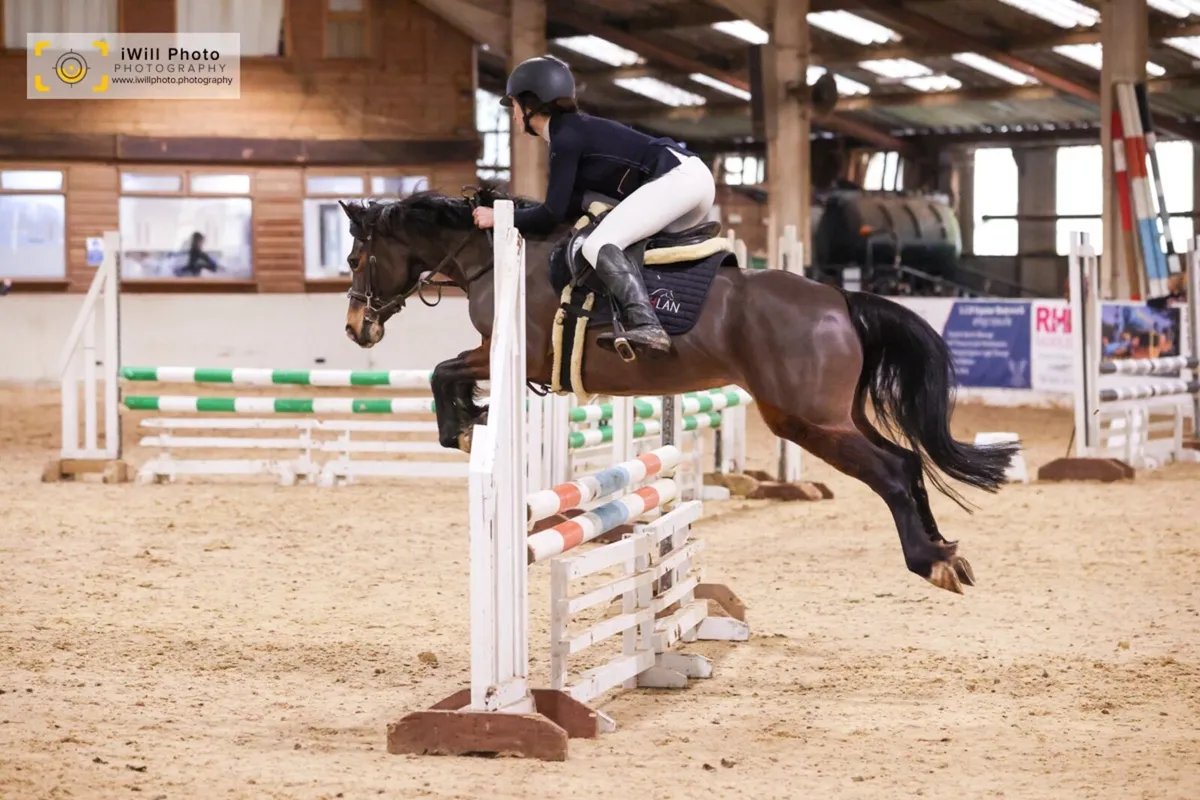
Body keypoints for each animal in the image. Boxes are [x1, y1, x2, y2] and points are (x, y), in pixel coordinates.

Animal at [338, 185, 1019, 595]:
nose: (355, 329)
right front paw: (469, 418)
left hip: (808, 420)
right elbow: (447, 370)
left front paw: (460, 425)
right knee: (907, 459)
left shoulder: (514, 352)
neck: (497, 256)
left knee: (893, 471)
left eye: (354, 260)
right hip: (831, 414)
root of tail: (840, 300)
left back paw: (929, 561)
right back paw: (946, 550)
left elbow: (444, 370)